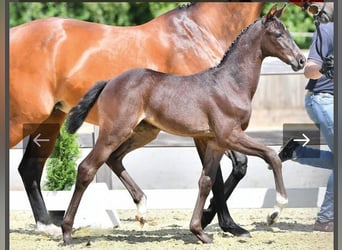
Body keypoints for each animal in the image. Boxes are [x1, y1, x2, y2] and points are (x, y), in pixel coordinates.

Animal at [10, 2, 262, 236]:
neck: (199, 30)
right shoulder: (207, 130)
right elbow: (215, 175)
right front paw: (224, 223)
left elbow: (236, 167)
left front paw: (220, 221)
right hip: (24, 117)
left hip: (50, 120)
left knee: (29, 168)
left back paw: (46, 225)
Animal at [62, 5, 306, 244]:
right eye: (277, 34)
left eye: (287, 32)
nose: (301, 60)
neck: (231, 83)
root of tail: (110, 81)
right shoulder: (230, 135)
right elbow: (272, 156)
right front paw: (274, 212)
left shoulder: (215, 142)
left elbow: (206, 181)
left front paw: (199, 230)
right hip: (114, 132)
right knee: (87, 168)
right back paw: (66, 233)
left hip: (144, 133)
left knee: (114, 159)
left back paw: (142, 208)